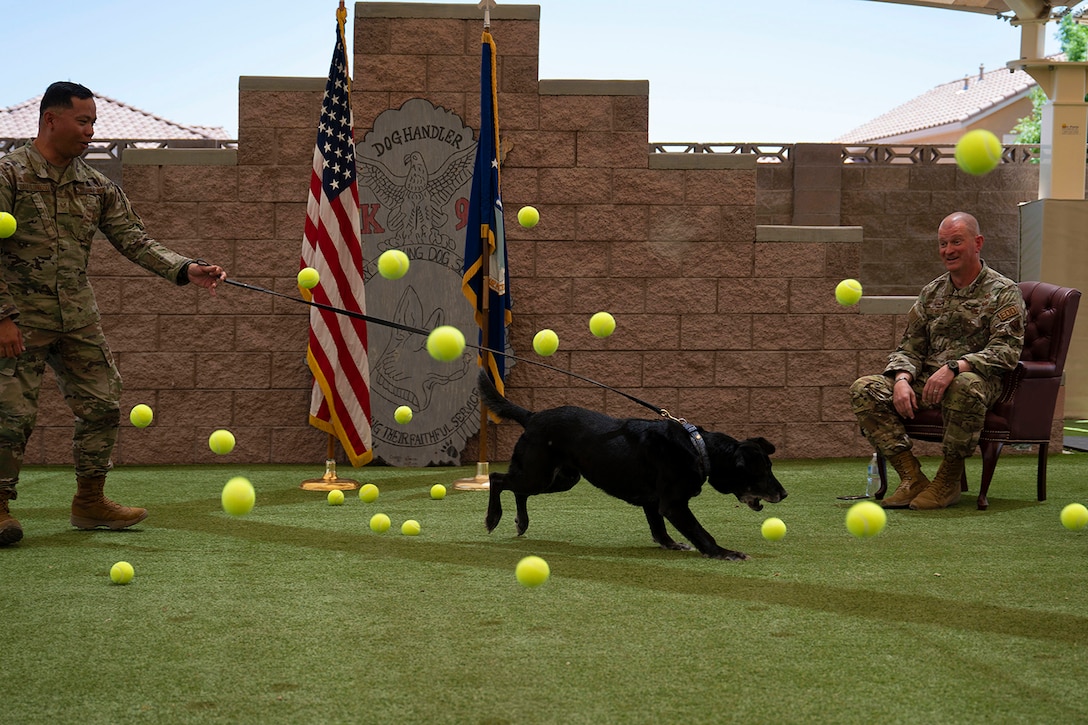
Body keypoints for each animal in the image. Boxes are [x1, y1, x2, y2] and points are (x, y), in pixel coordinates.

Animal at [480, 372, 787, 557]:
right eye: (763, 470)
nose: (784, 494)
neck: (699, 448)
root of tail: (531, 416)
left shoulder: (654, 502)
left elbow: (659, 528)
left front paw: (670, 544)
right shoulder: (673, 504)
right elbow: (701, 532)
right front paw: (724, 553)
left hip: (560, 478)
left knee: (518, 490)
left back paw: (521, 522)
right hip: (539, 474)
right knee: (497, 478)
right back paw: (493, 518)